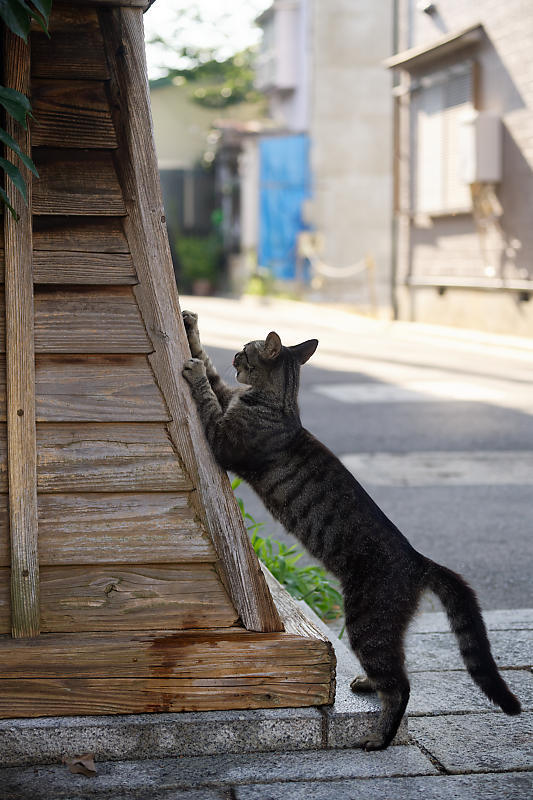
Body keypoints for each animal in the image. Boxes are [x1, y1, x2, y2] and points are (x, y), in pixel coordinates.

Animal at [182, 312, 520, 752]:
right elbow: (211, 372)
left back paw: (380, 737)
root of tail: (419, 560)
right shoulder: (229, 400)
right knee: (397, 671)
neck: (279, 403)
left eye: (244, 350)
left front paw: (193, 370)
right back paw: (367, 685)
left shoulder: (223, 440)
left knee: (401, 686)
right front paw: (192, 330)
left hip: (366, 622)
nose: (236, 356)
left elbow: (207, 393)